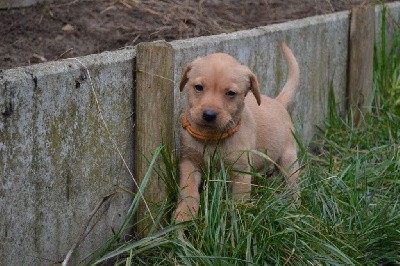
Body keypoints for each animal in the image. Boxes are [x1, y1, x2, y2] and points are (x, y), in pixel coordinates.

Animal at [175, 43, 300, 222]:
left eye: (231, 93)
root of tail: (278, 102)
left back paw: (293, 208)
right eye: (198, 87)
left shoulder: (240, 172)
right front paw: (184, 214)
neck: (212, 137)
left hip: (289, 160)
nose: (209, 115)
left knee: (293, 186)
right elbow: (188, 191)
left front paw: (235, 220)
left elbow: (238, 200)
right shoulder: (189, 162)